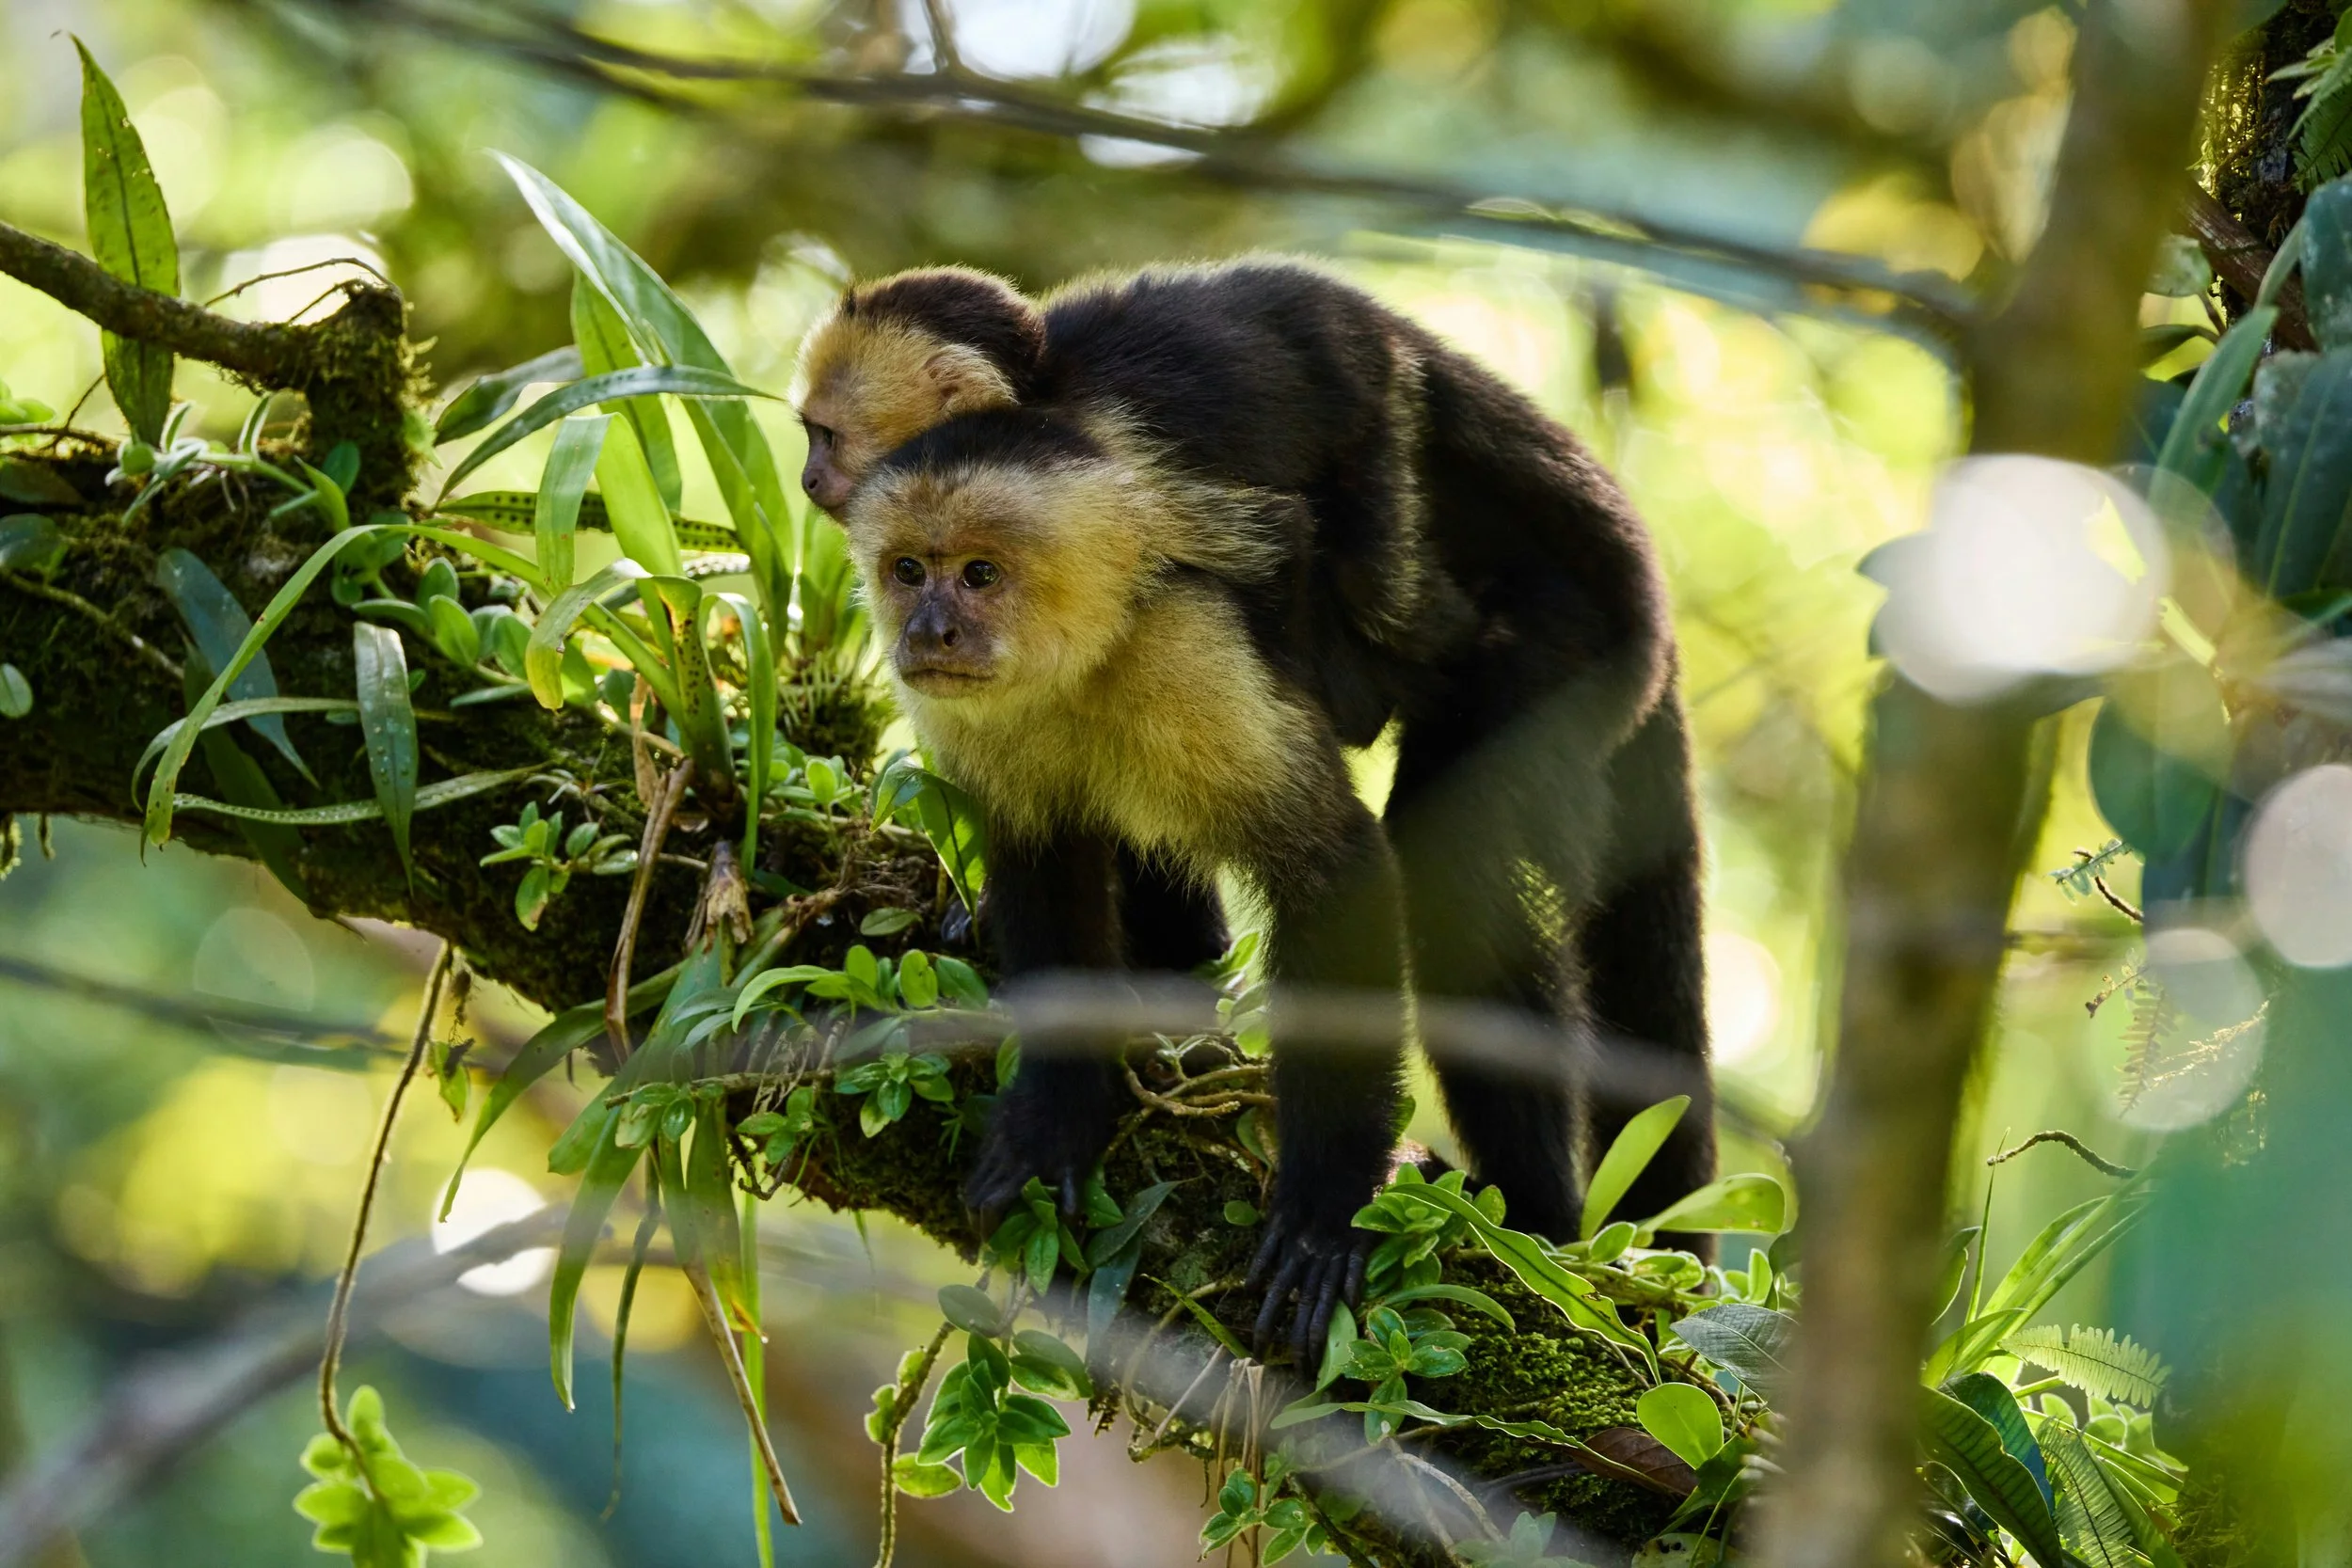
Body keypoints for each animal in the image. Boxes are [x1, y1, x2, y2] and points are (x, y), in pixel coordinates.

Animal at [805, 260, 1713, 1357]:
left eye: (978, 573)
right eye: (907, 570)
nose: (928, 627)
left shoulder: (1183, 614)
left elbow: (1337, 870)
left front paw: (1325, 1211)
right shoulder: (979, 703)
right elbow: (1044, 858)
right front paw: (1062, 1100)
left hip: (1567, 642)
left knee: (1452, 851)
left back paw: (1530, 1216)